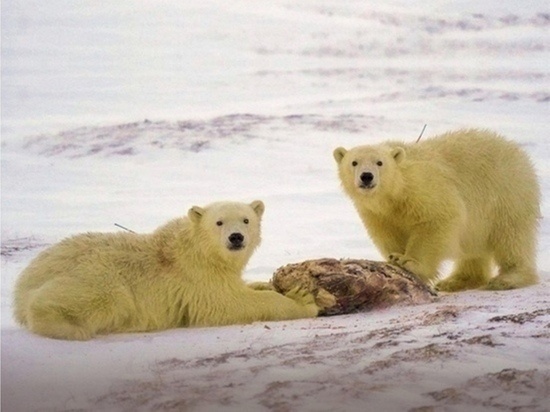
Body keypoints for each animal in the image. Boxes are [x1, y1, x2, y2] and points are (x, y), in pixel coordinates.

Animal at [14, 200, 320, 342]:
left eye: (246, 219)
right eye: (219, 222)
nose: (236, 237)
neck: (197, 249)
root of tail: (22, 286)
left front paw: (267, 284)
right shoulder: (197, 277)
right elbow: (230, 303)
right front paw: (303, 300)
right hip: (98, 275)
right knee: (105, 297)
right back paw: (69, 327)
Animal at [334, 127, 540, 292]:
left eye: (379, 162)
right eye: (354, 162)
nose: (366, 176)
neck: (396, 193)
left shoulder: (424, 188)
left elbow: (436, 220)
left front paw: (409, 262)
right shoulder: (377, 213)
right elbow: (388, 233)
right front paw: (393, 258)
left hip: (506, 194)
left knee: (511, 237)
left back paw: (508, 278)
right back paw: (456, 281)